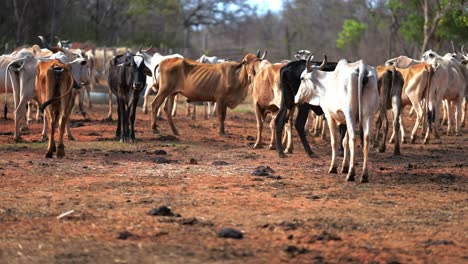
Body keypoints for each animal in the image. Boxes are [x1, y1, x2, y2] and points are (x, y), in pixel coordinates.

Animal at [296, 55, 380, 184]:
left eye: (302, 78)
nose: (296, 98)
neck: (326, 83)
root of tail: (362, 68)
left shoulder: (330, 116)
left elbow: (335, 141)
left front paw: (334, 167)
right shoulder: (345, 120)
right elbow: (344, 141)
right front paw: (344, 167)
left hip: (350, 114)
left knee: (353, 139)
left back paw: (351, 174)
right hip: (368, 116)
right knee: (366, 140)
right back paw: (364, 175)